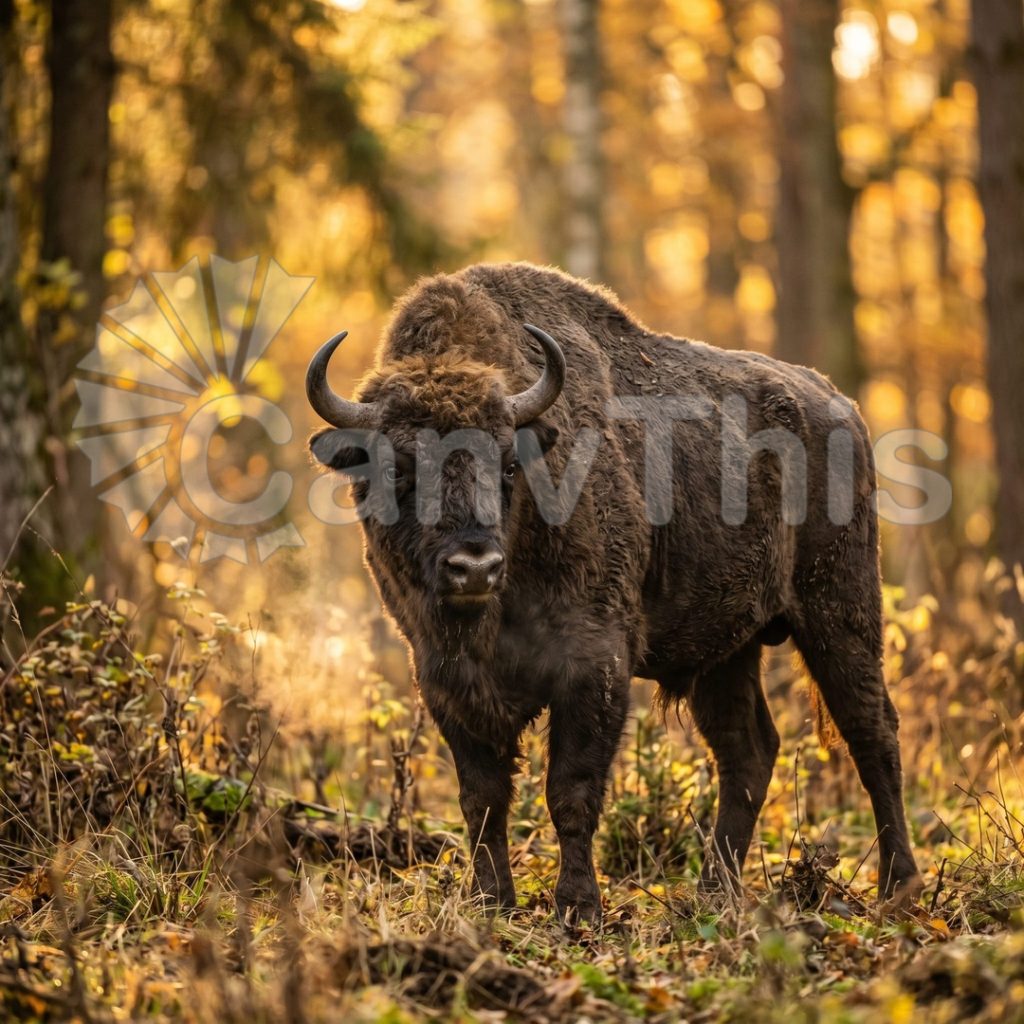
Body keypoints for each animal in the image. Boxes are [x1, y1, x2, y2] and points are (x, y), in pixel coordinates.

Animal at [306, 261, 921, 925]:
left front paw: (578, 908)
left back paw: (899, 886)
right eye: (397, 467)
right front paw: (493, 903)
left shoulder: (593, 664)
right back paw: (715, 891)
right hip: (728, 652)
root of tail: (844, 409)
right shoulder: (445, 679)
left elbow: (570, 791)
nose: (474, 567)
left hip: (840, 612)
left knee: (872, 733)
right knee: (748, 751)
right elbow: (483, 799)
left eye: (507, 464)